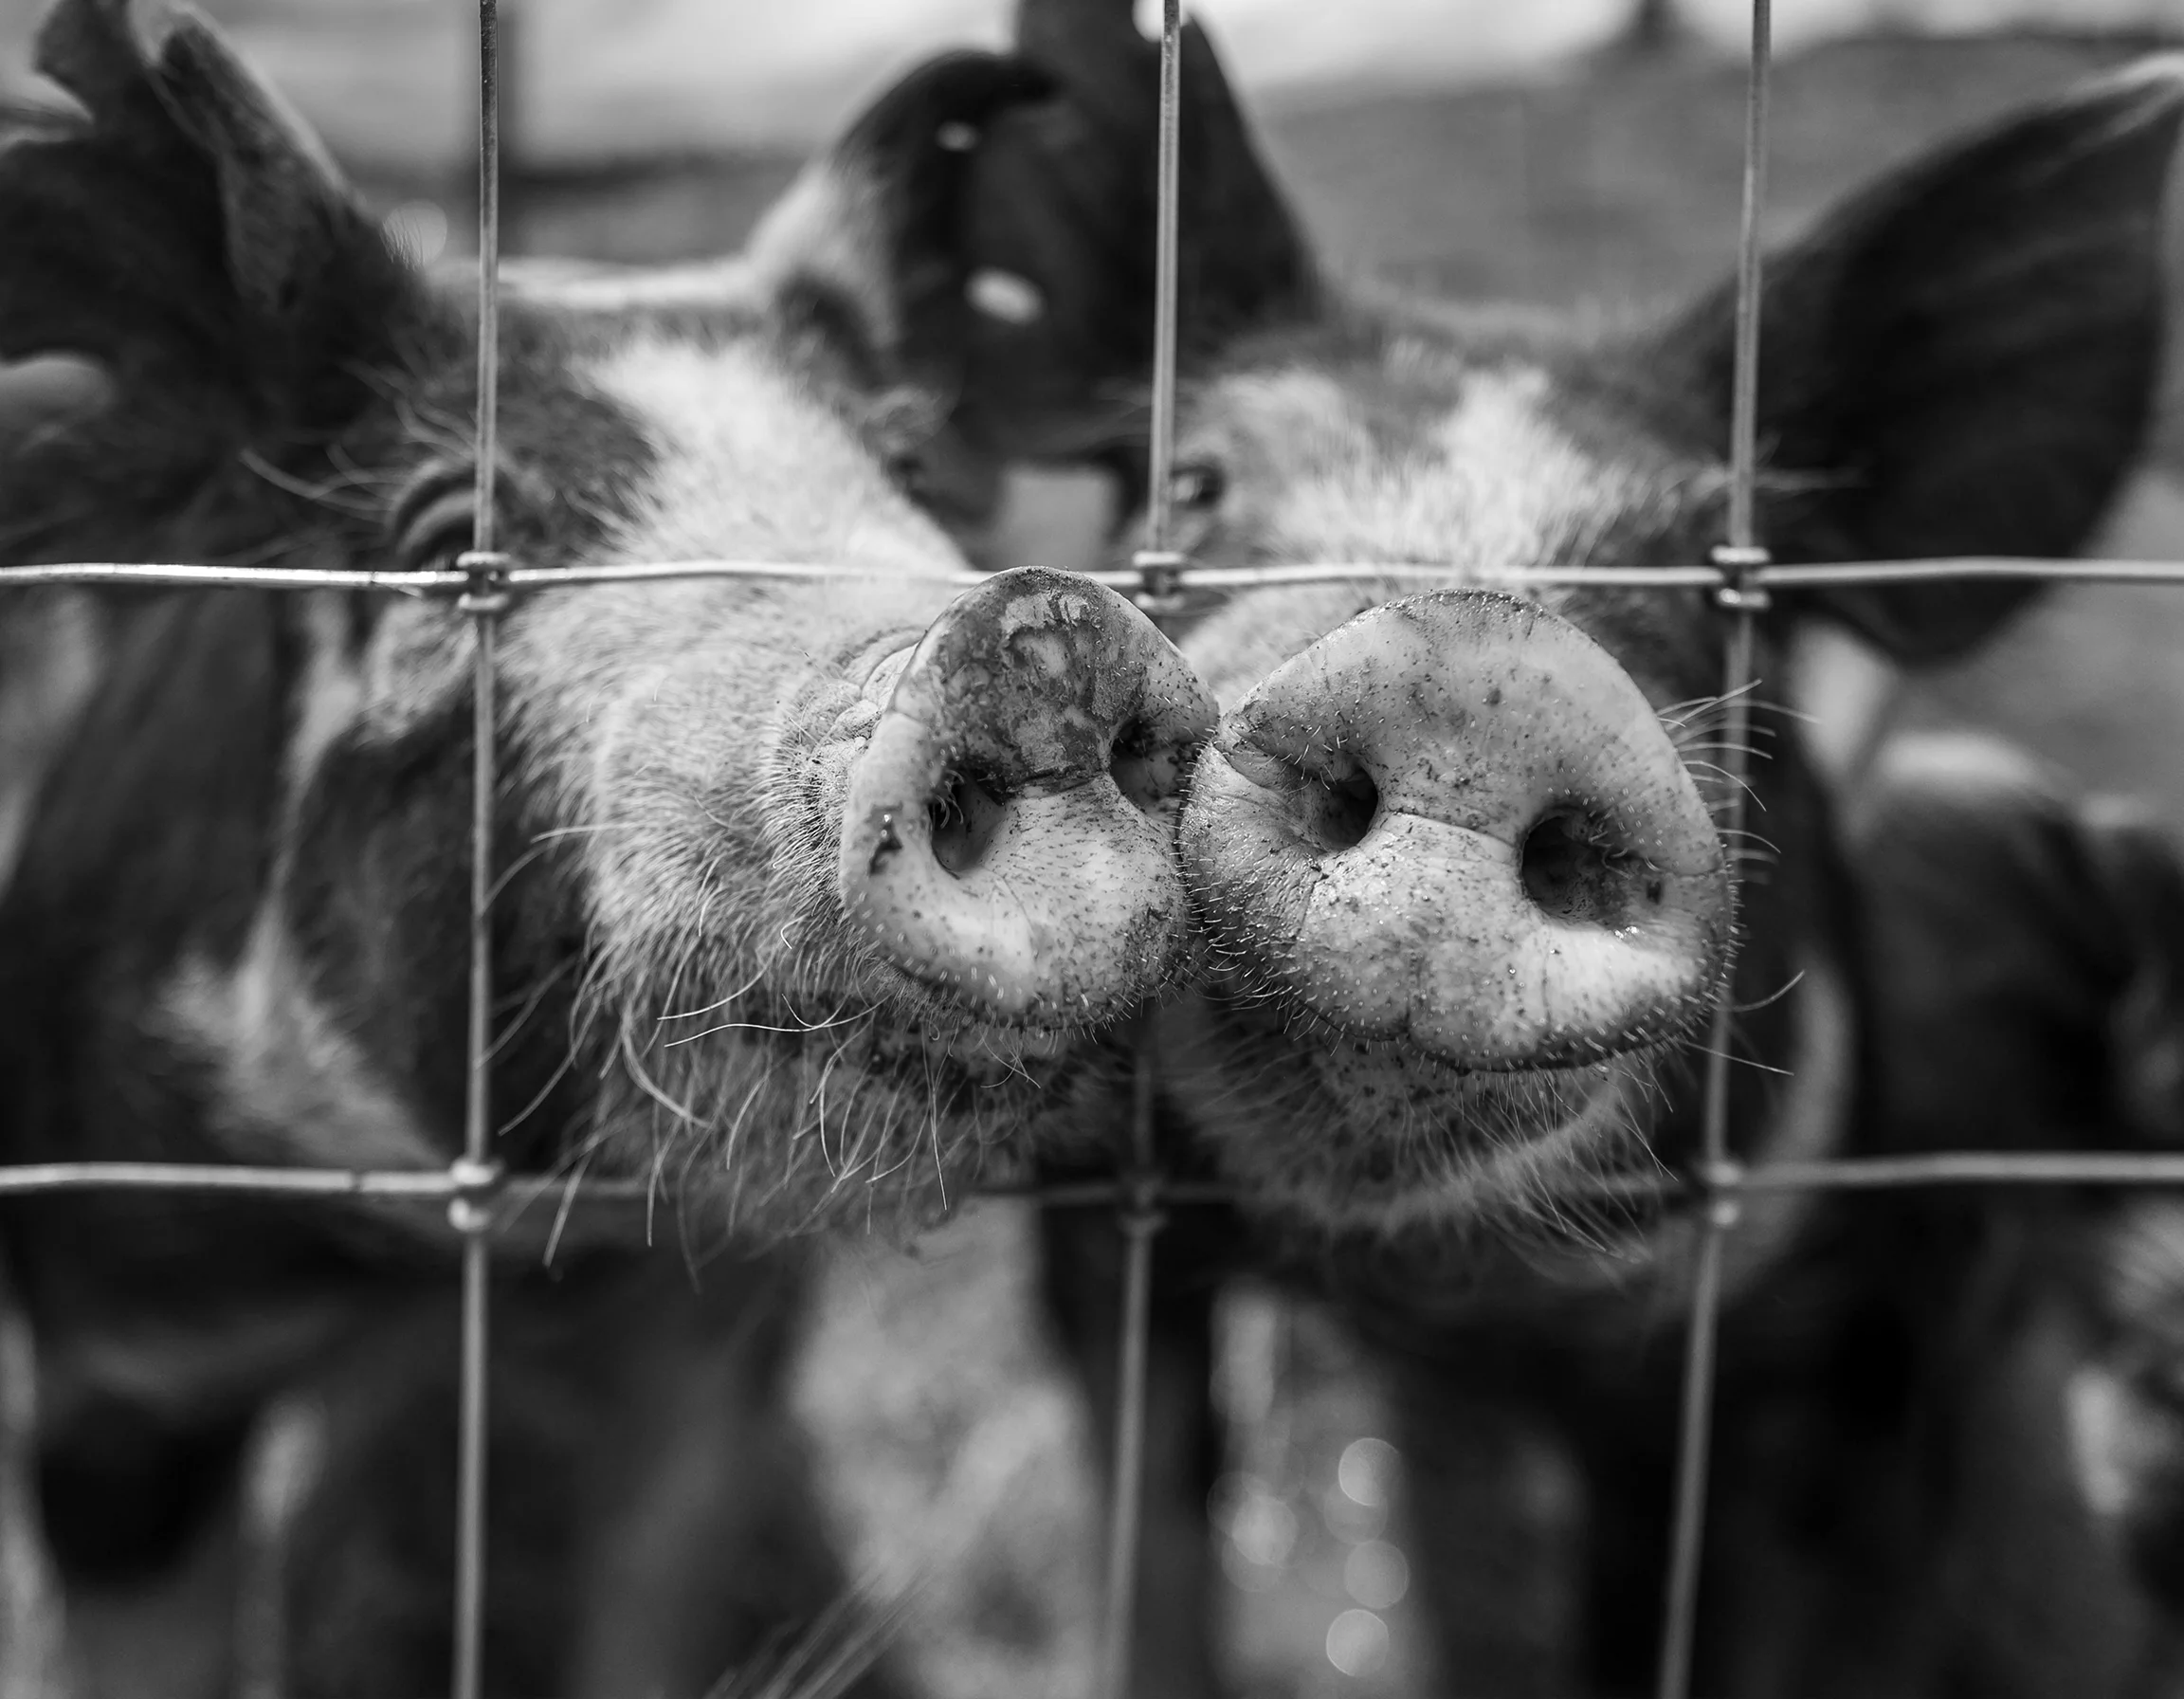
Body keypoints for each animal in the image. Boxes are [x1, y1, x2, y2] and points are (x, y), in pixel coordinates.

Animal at [919, 0, 2184, 1691]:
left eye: (1730, 586)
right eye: (1196, 481)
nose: (1474, 659)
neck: (1425, 1290)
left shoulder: (1791, 1334)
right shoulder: (1096, 1226)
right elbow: (1159, 1548)